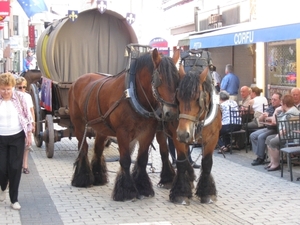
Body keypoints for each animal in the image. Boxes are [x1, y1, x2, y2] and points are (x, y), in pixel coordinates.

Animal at [69, 46, 179, 201]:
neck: (133, 94)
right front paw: (126, 190)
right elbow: (126, 160)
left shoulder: (147, 132)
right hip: (78, 124)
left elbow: (142, 160)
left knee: (98, 150)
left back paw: (98, 177)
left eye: (177, 79)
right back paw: (82, 179)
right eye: (160, 80)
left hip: (101, 127)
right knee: (83, 148)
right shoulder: (122, 133)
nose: (172, 113)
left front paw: (143, 187)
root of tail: (77, 81)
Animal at [173, 65, 223, 204]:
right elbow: (181, 162)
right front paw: (180, 193)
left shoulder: (212, 139)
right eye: (178, 98)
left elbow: (207, 163)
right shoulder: (177, 138)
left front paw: (207, 192)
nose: (183, 134)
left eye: (197, 99)